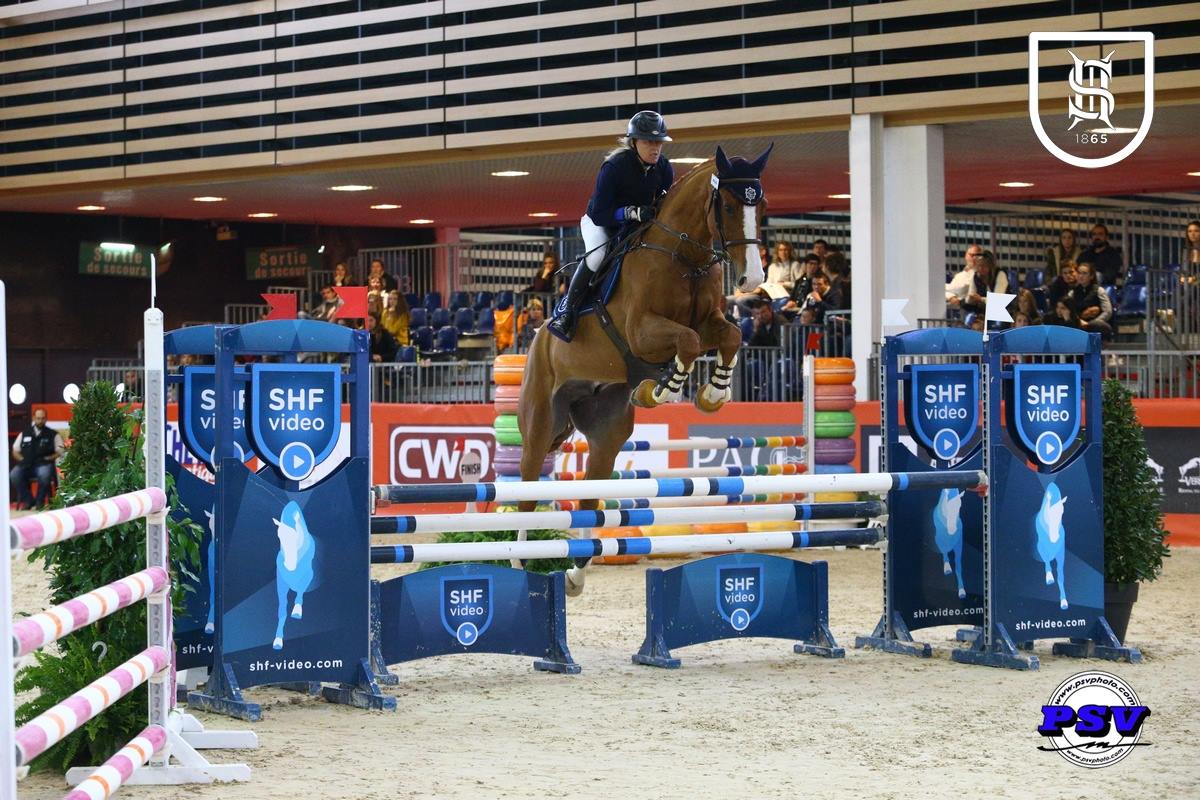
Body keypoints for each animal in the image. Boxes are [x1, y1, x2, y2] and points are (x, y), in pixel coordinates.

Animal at [271, 500, 317, 650]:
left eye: (296, 536)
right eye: (279, 536)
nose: (289, 566)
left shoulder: (309, 575)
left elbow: (301, 591)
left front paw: (297, 611)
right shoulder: (281, 583)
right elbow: (281, 610)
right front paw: (278, 640)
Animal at [518, 145, 772, 594]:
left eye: (761, 207)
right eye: (726, 205)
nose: (751, 278)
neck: (684, 256)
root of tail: (537, 336)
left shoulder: (710, 321)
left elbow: (727, 336)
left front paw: (713, 393)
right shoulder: (641, 332)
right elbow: (688, 342)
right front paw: (663, 389)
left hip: (607, 431)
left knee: (589, 498)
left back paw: (574, 577)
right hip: (540, 423)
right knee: (527, 491)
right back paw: (516, 561)